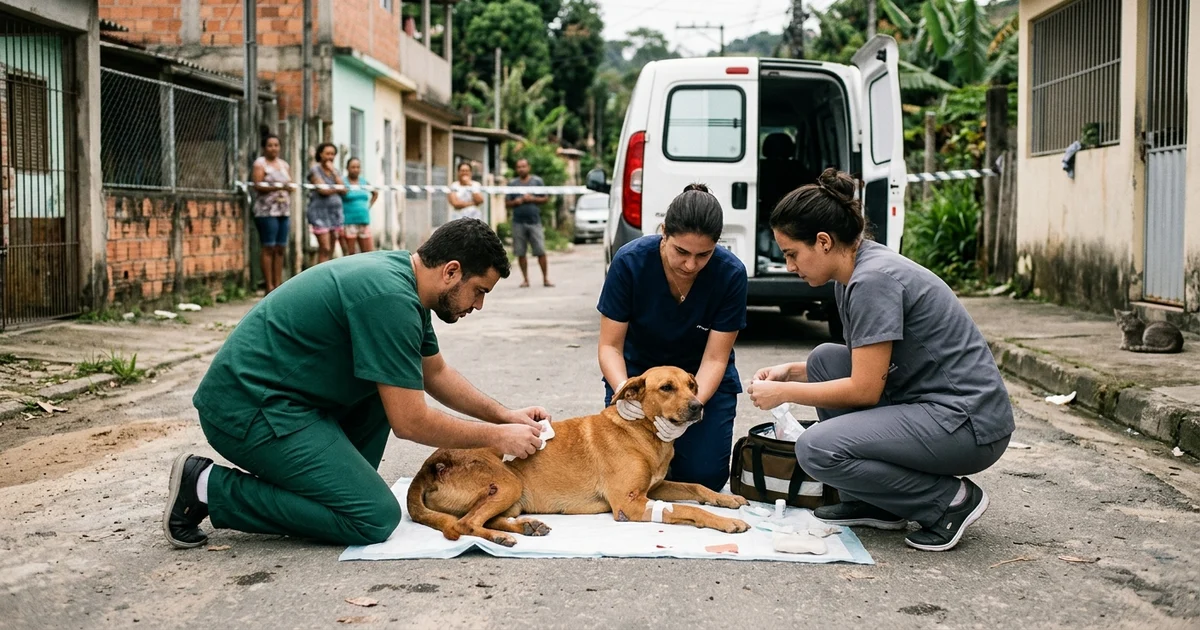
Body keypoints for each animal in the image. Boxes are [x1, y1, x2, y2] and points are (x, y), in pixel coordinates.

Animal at [407, 366, 751, 546]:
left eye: (692, 385)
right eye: (667, 387)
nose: (698, 406)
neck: (641, 431)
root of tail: (429, 465)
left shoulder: (654, 488)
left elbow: (695, 488)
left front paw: (726, 499)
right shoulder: (629, 504)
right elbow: (688, 508)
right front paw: (726, 522)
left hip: (511, 495)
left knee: (484, 518)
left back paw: (526, 527)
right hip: (507, 483)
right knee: (466, 523)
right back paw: (500, 537)